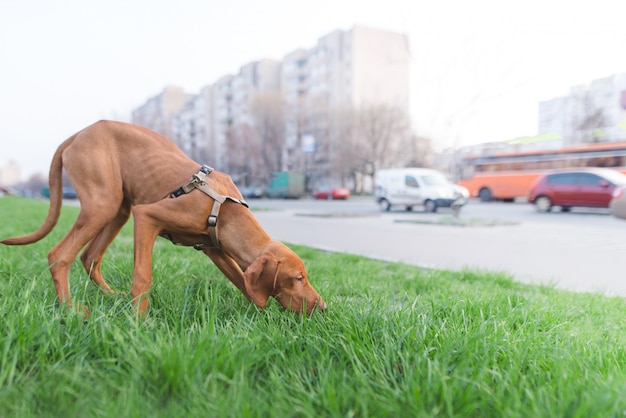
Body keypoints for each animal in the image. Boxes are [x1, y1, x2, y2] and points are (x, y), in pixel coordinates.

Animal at [2, 121, 326, 316]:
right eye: (298, 278)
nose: (323, 307)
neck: (224, 207)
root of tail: (77, 134)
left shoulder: (214, 248)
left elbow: (243, 283)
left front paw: (263, 316)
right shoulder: (147, 217)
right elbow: (143, 276)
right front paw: (139, 322)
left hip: (119, 208)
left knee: (89, 256)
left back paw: (111, 297)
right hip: (104, 204)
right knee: (60, 255)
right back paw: (71, 309)